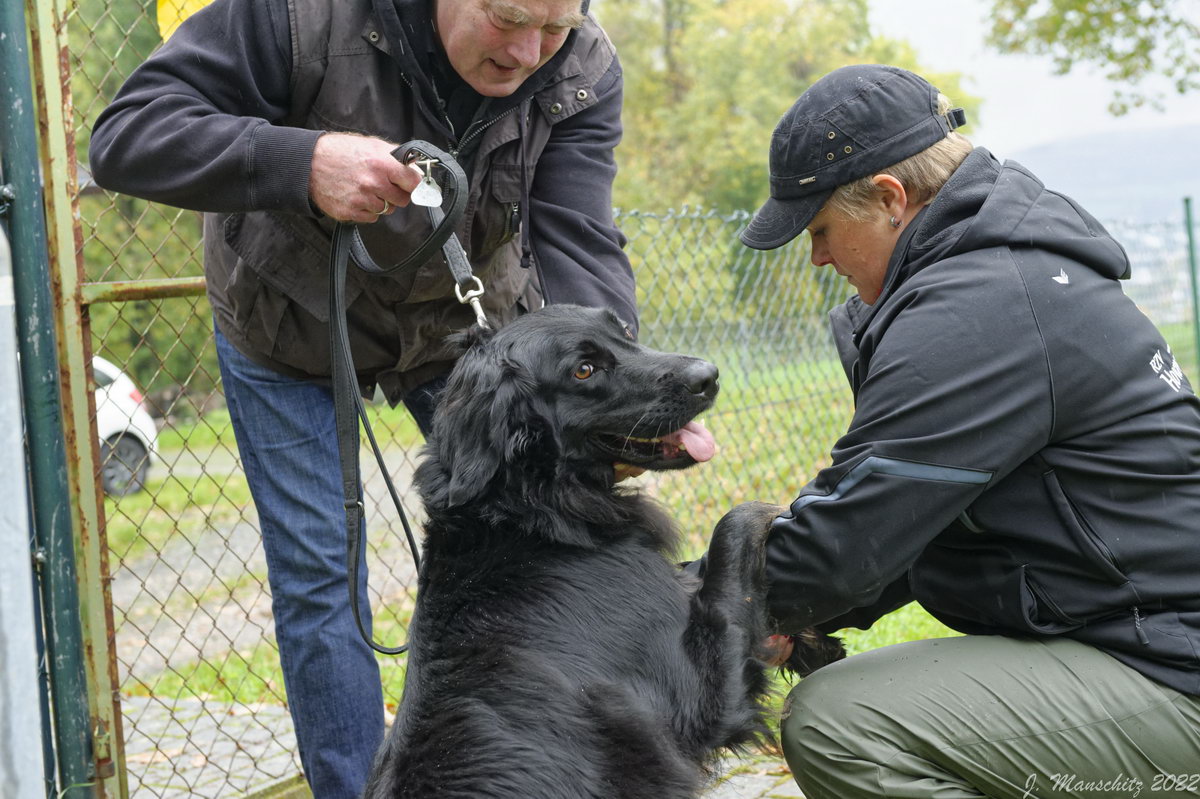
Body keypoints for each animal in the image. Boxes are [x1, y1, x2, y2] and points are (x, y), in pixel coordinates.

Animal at [364, 303, 844, 791]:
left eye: (626, 331)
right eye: (584, 370)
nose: (708, 376)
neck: (525, 514)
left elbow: (697, 573)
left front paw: (809, 640)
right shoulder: (702, 698)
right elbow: (732, 531)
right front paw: (772, 511)